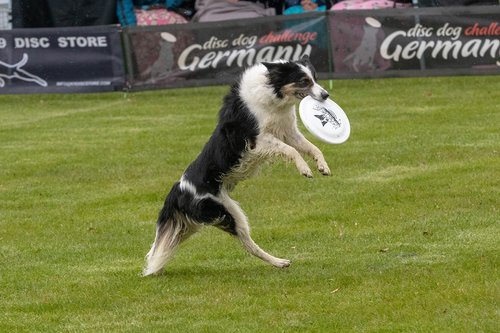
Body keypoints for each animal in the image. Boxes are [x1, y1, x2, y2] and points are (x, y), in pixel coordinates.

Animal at [144, 55, 332, 274]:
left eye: (315, 79)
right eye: (304, 81)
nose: (326, 95)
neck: (272, 94)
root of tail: (179, 189)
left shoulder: (288, 132)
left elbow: (313, 148)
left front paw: (322, 166)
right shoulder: (258, 140)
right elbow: (292, 151)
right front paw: (305, 169)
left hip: (217, 214)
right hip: (225, 213)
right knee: (248, 245)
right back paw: (278, 262)